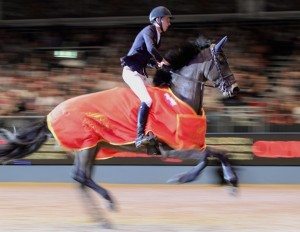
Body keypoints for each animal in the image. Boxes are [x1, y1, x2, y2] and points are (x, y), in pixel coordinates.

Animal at [0, 35, 239, 210]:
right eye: (222, 61)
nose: (235, 90)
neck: (179, 98)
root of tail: (50, 114)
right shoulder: (173, 149)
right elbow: (210, 156)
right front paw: (224, 181)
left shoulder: (189, 145)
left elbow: (214, 154)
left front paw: (195, 178)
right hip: (85, 146)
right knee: (80, 176)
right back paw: (108, 205)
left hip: (92, 148)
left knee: (82, 178)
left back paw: (105, 211)